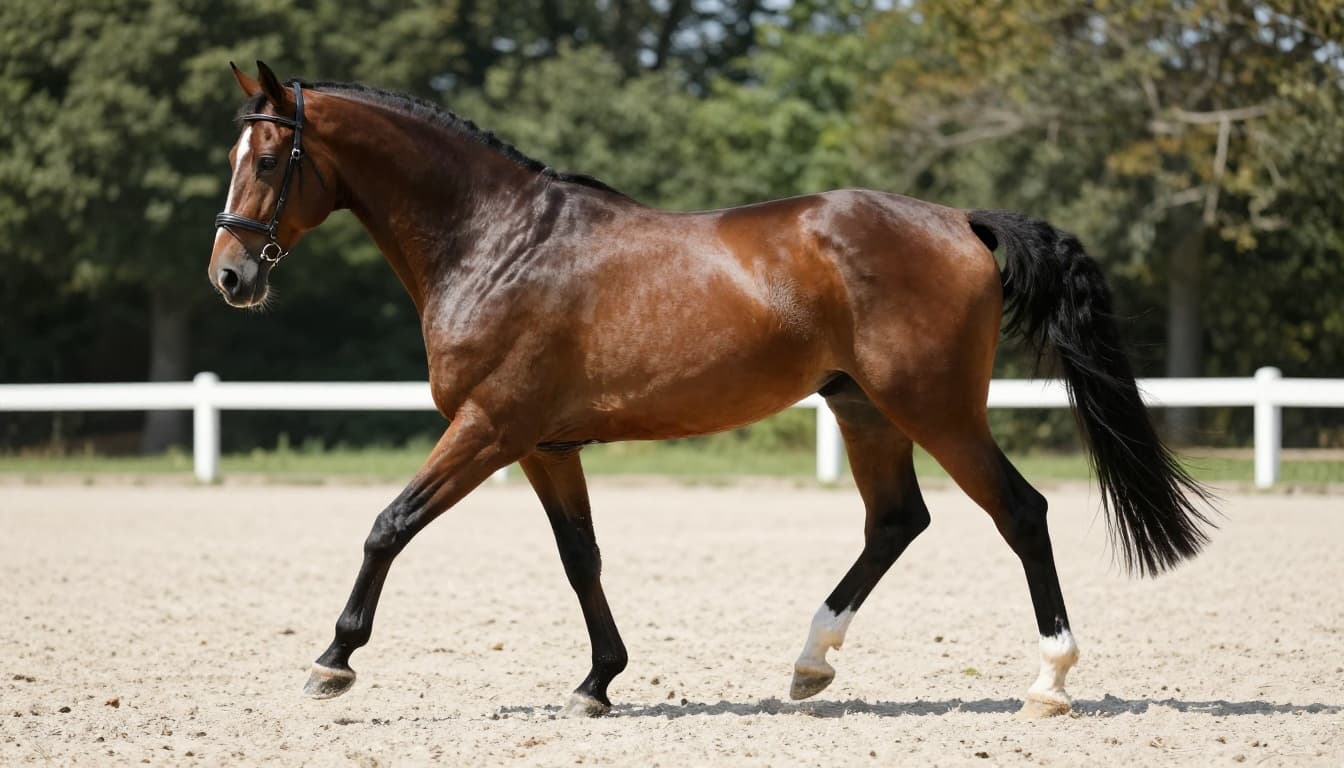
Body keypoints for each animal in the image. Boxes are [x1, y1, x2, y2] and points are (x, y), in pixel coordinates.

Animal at [209, 61, 1214, 718]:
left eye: (269, 160)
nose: (229, 277)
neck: (497, 242)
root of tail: (958, 221)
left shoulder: (489, 427)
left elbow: (389, 525)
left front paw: (333, 661)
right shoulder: (544, 446)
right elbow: (582, 558)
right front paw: (598, 681)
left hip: (936, 408)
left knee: (1020, 511)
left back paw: (1049, 680)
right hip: (864, 409)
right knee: (896, 521)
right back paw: (811, 666)